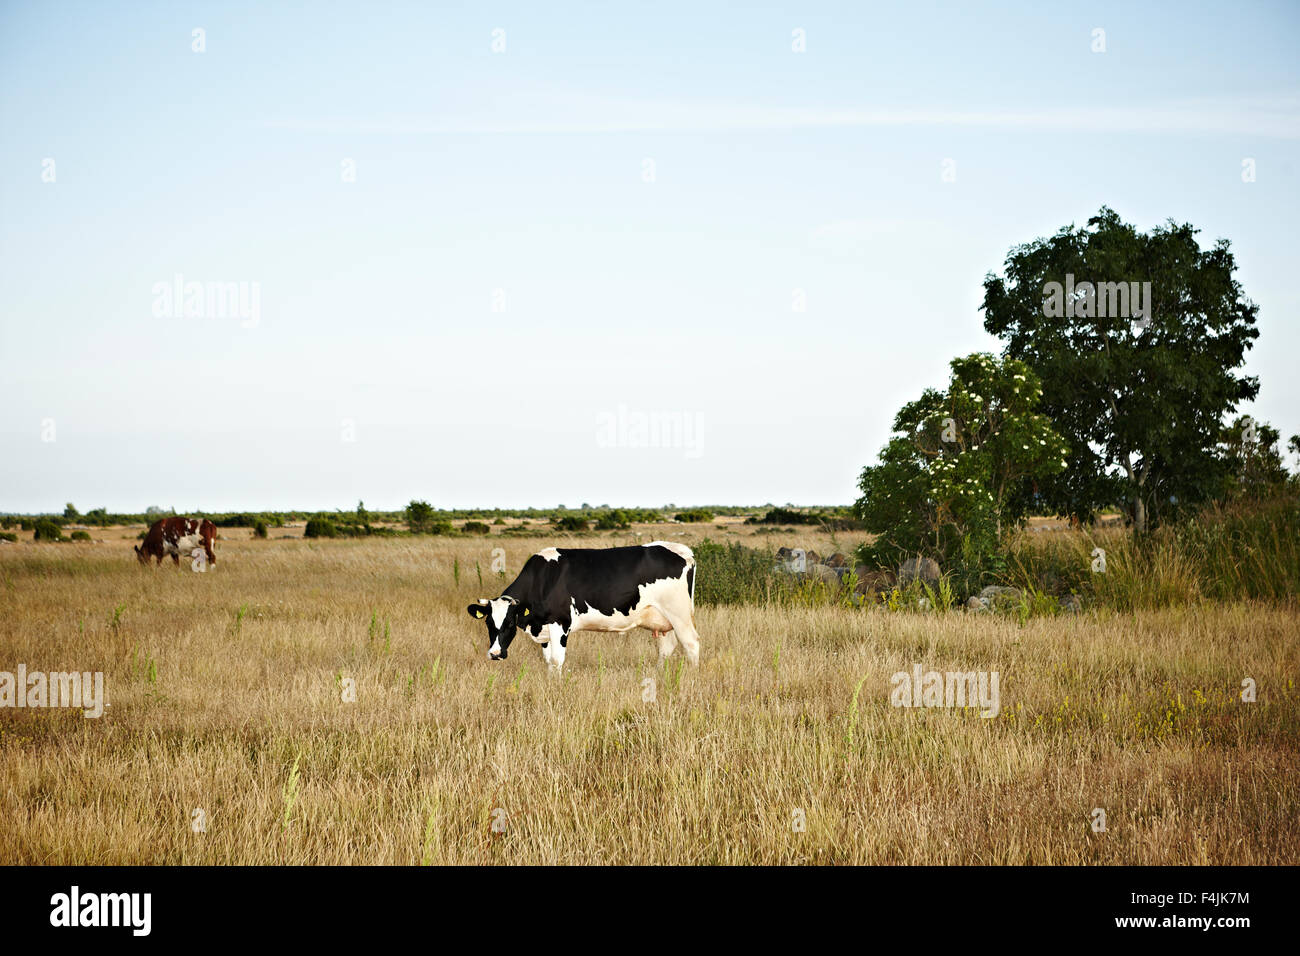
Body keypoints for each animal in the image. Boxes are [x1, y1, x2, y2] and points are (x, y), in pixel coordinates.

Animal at [467, 538, 702, 671]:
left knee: (691, 644)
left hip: (679, 614)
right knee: (666, 648)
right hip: (661, 619)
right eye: (488, 623)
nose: (495, 654)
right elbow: (548, 661)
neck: (543, 578)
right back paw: (658, 674)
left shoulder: (560, 623)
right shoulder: (544, 627)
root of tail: (683, 551)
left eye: (509, 623)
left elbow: (557, 660)